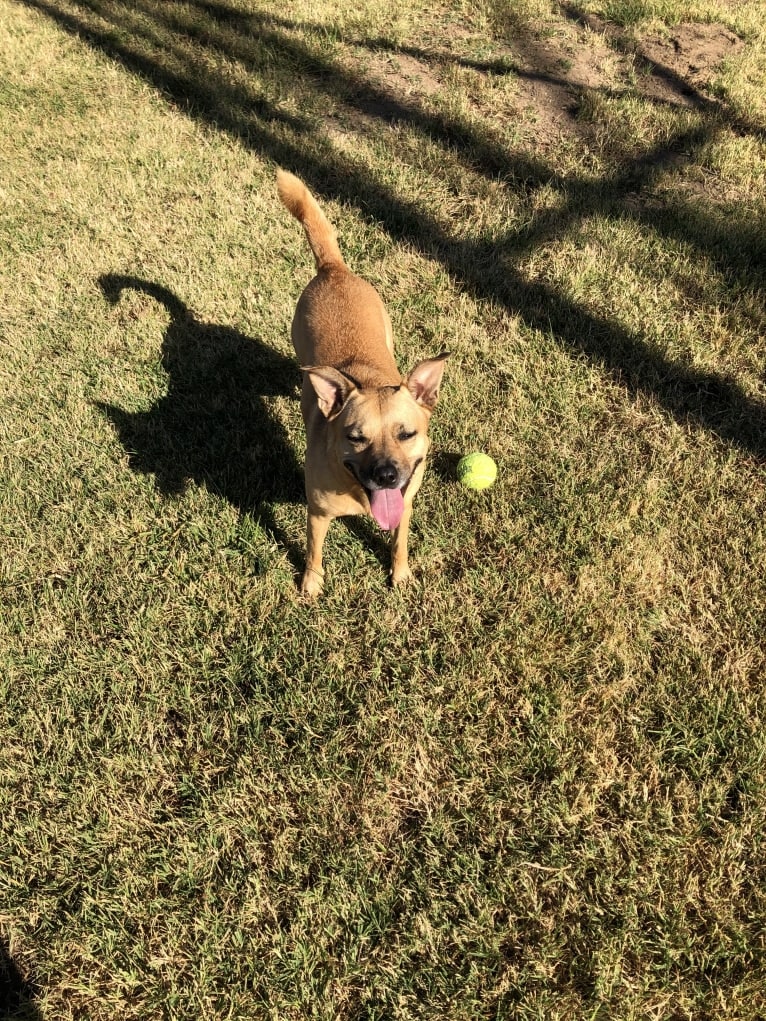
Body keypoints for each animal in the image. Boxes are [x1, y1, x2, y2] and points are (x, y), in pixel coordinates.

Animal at [277, 169, 449, 596]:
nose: (387, 475)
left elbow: (400, 543)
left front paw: (400, 575)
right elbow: (314, 551)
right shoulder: (317, 514)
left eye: (407, 433)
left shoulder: (405, 505)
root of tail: (333, 269)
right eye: (356, 437)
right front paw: (311, 584)